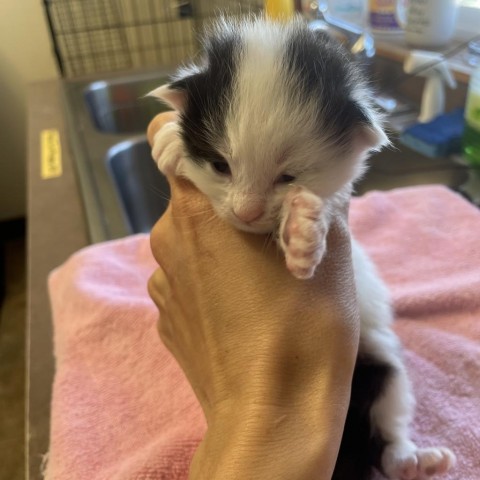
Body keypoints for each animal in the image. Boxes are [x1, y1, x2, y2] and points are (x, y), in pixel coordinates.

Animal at [148, 16, 456, 478]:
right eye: (220, 165)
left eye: (289, 177)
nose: (247, 211)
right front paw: (169, 139)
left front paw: (301, 234)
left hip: (384, 367)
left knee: (389, 425)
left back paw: (413, 459)